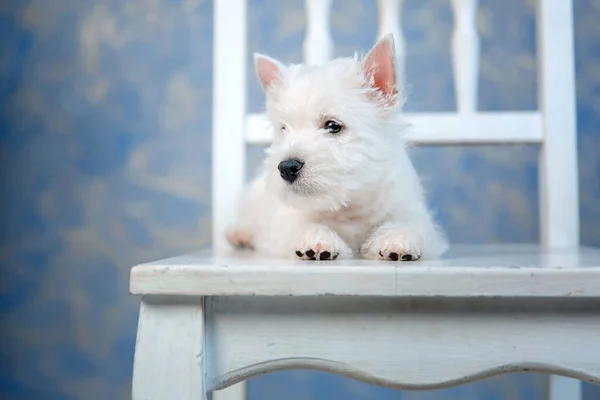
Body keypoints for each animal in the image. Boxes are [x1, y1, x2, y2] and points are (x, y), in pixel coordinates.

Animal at [227, 35, 448, 262]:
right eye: (283, 129)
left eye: (333, 125)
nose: (286, 167)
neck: (348, 205)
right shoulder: (285, 223)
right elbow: (305, 225)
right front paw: (317, 241)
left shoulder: (409, 210)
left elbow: (406, 223)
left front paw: (397, 241)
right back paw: (239, 235)